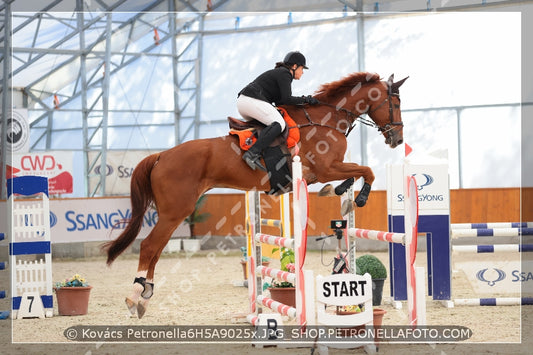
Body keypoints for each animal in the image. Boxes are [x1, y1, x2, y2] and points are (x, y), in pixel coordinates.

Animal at [102, 71, 406, 318]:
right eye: (396, 103)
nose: (397, 140)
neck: (326, 119)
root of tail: (161, 155)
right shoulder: (325, 168)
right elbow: (367, 170)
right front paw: (358, 198)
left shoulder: (325, 171)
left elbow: (356, 173)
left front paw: (341, 191)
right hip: (176, 211)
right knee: (149, 246)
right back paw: (135, 296)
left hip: (173, 213)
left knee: (156, 249)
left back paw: (145, 295)